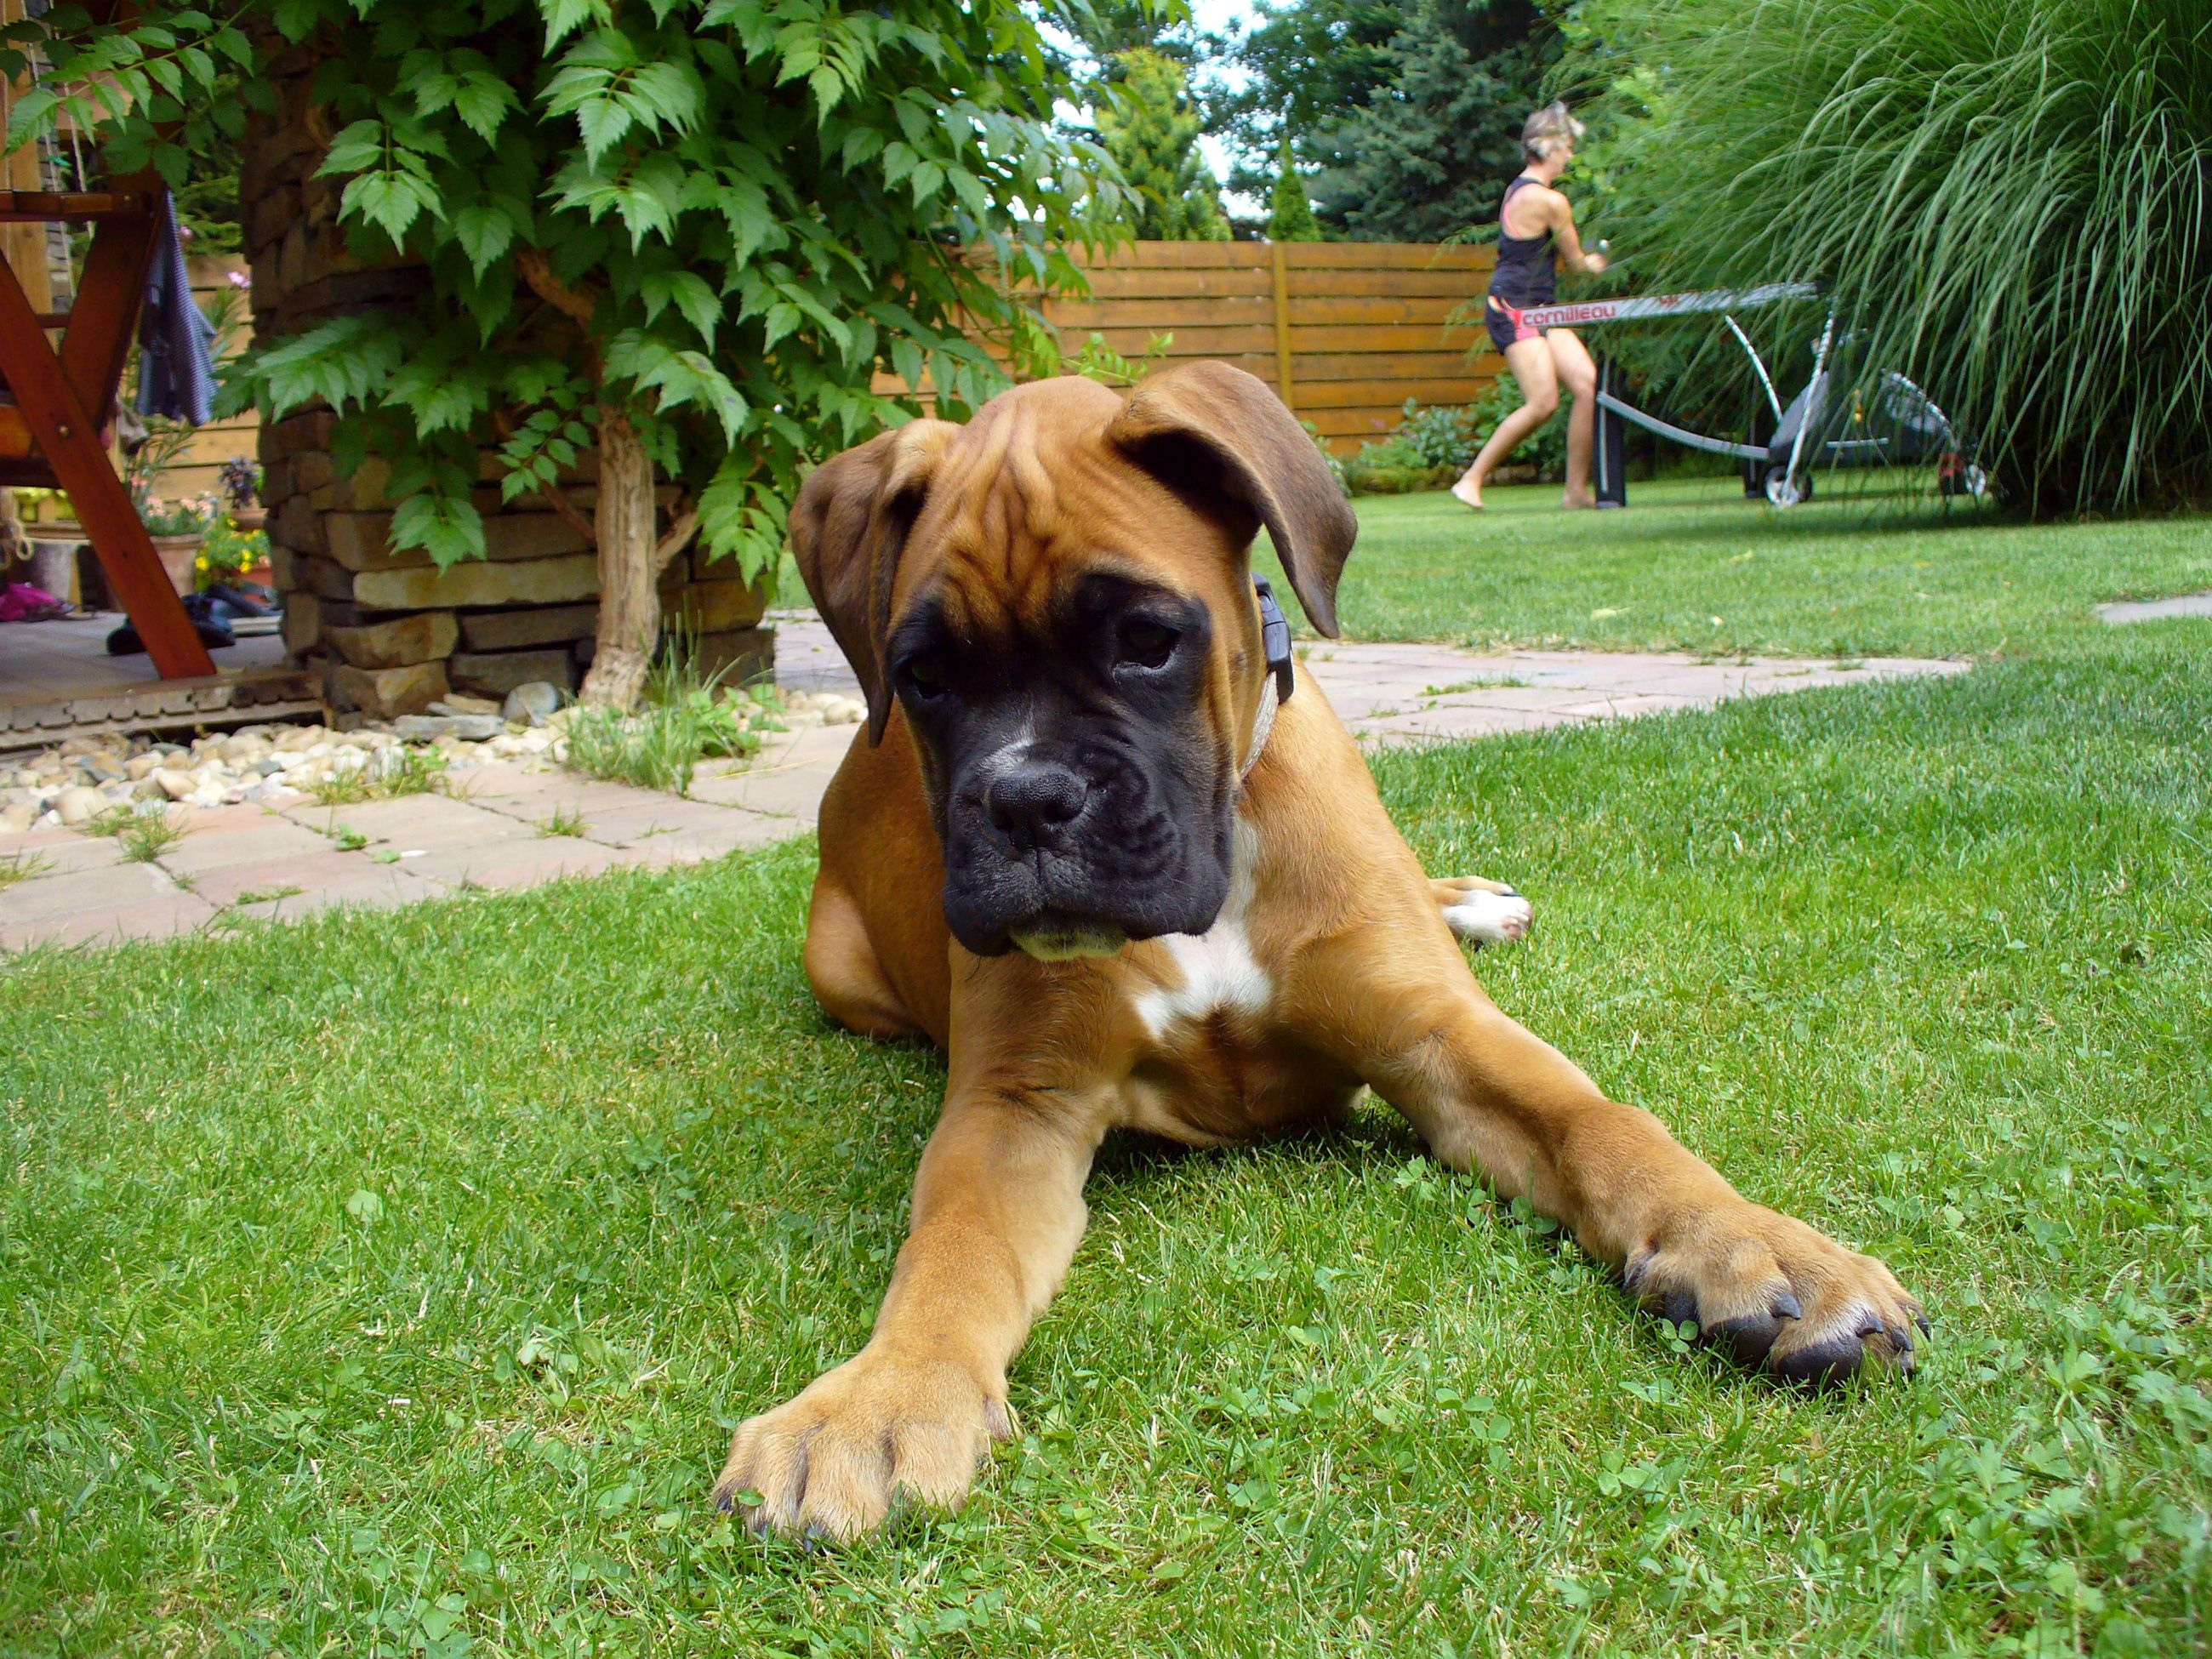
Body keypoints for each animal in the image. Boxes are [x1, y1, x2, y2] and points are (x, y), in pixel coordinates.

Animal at [712, 362, 1919, 1548]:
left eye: (1146, 643)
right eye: (922, 675)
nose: (1024, 799)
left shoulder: (1440, 1039)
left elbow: (1604, 1125)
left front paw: (1754, 1248)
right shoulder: (1015, 1107)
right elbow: (952, 1253)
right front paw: (876, 1399)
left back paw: (1467, 902)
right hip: (841, 973)